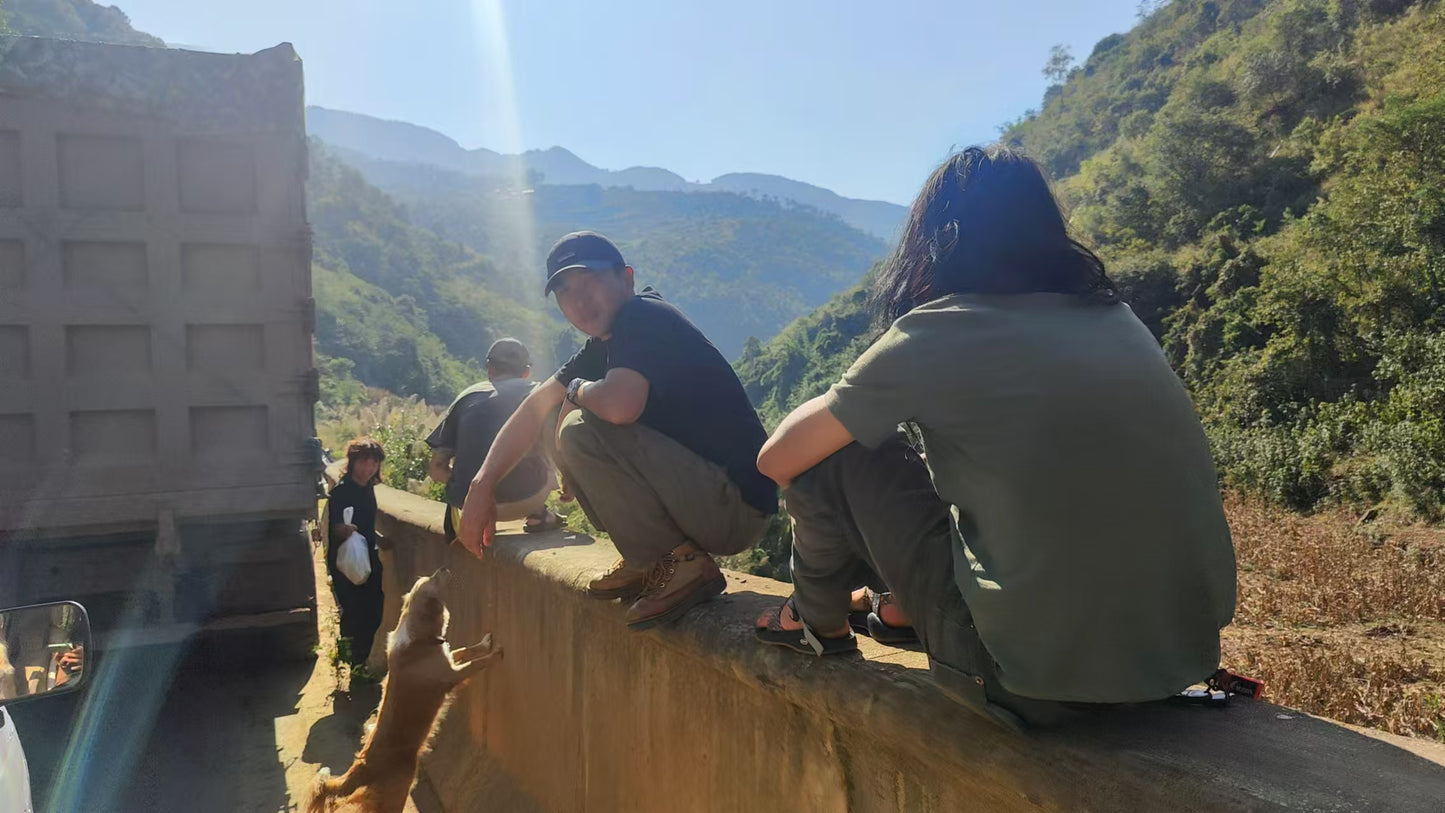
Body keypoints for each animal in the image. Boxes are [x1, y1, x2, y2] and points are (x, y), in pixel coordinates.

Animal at [306, 566, 502, 813]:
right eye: (432, 580)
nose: (443, 568)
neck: (420, 639)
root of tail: (362, 766)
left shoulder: (449, 660)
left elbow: (467, 650)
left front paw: (485, 643)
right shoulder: (452, 675)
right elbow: (477, 663)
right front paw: (495, 654)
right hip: (398, 791)